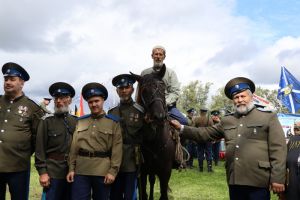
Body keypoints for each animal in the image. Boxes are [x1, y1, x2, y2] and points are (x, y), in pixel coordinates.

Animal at [131, 66, 176, 200]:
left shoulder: (165, 172)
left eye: (163, 88)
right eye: (144, 90)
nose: (159, 117)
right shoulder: (143, 171)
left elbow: (163, 194)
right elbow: (143, 194)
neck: (154, 140)